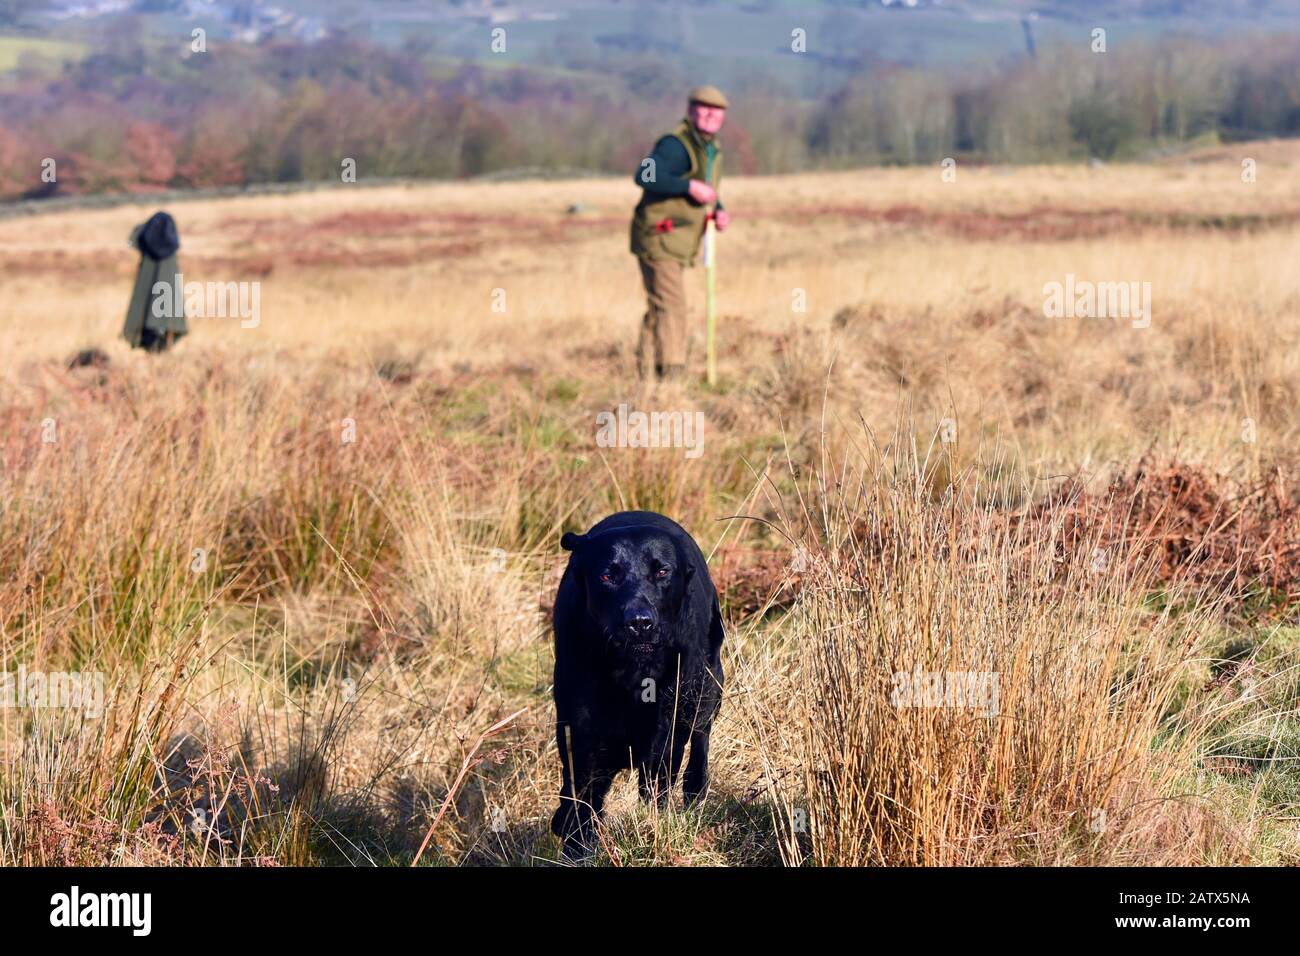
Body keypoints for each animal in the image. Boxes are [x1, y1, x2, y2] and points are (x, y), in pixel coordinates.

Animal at [551, 512, 728, 858]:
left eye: (661, 571)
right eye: (608, 575)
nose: (639, 623)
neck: (630, 672)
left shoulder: (667, 727)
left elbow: (657, 782)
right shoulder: (580, 727)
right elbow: (583, 792)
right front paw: (577, 845)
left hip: (707, 687)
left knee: (700, 742)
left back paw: (695, 791)